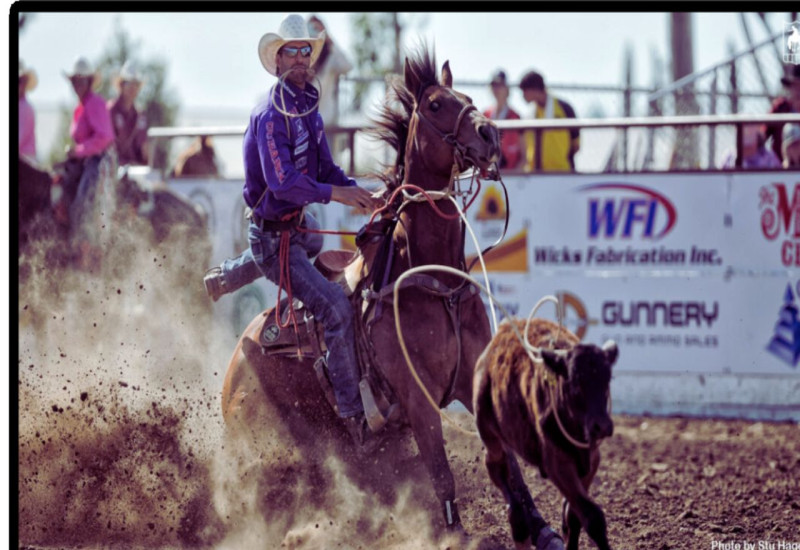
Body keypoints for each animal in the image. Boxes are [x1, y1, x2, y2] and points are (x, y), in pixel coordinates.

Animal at [219, 45, 500, 536]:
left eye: (467, 98)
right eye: (435, 105)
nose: (490, 135)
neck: (433, 278)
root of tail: (240, 351)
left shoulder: (471, 381)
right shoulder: (419, 401)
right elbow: (443, 478)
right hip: (254, 440)